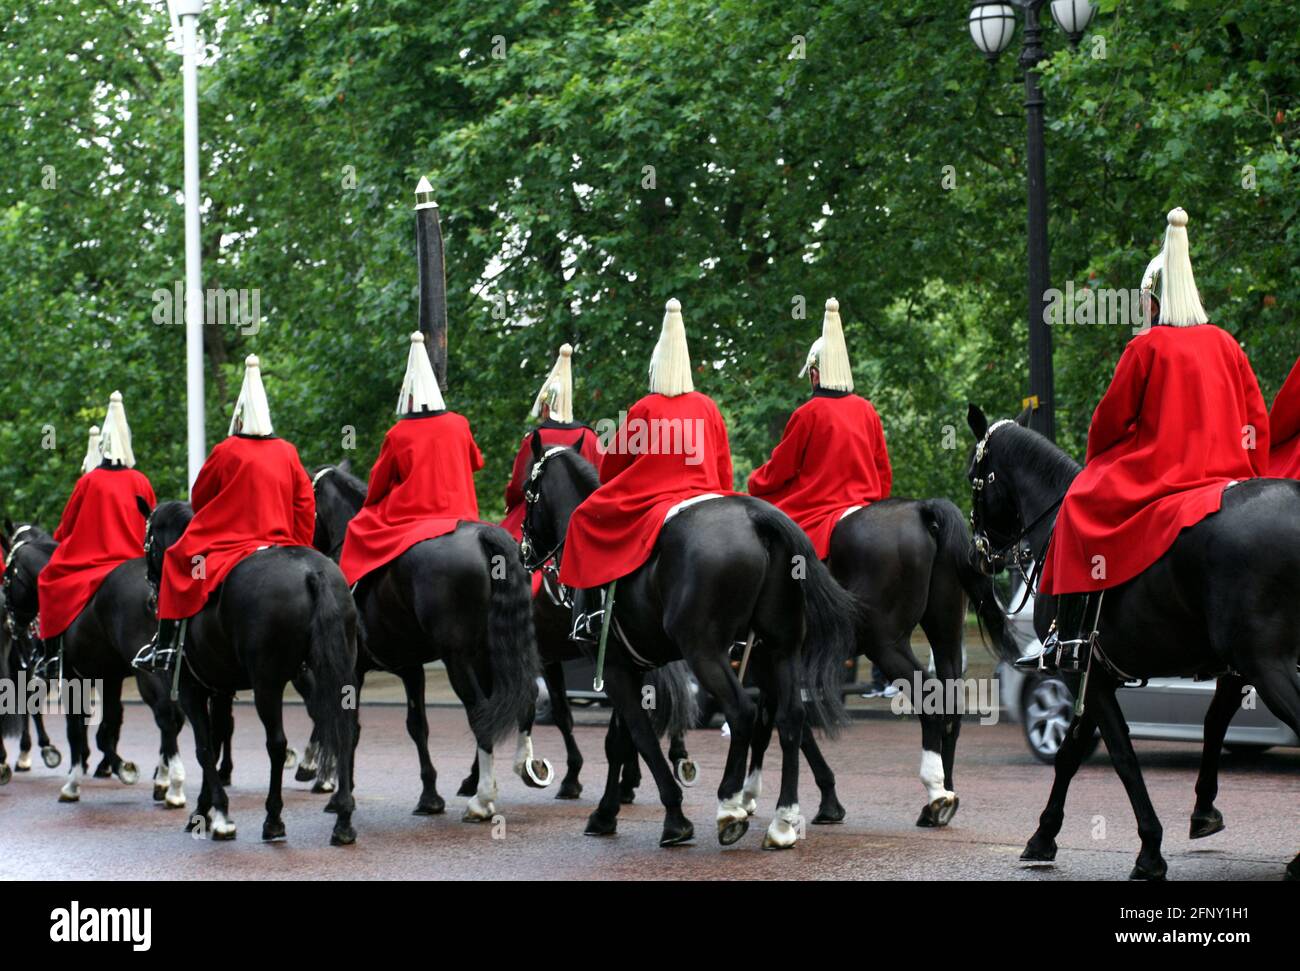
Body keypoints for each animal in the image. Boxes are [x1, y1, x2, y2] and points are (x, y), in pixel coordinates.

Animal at [1, 525, 188, 805]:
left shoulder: (70, 676)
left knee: (166, 713)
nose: (12, 623)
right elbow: (105, 725)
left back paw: (173, 785)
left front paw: (73, 783)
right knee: (176, 714)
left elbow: (75, 729)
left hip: (146, 670)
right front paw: (120, 767)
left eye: (7, 577)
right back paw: (163, 778)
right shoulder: (109, 677)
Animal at [141, 501, 361, 842]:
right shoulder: (220, 689)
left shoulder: (192, 689)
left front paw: (217, 816)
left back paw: (274, 818)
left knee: (277, 744)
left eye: (147, 541)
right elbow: (217, 740)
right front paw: (206, 808)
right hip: (332, 674)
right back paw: (343, 818)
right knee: (343, 730)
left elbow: (205, 748)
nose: (152, 592)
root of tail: (314, 573)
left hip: (267, 684)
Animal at [308, 467, 543, 826]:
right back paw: (522, 766)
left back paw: (482, 799)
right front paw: (430, 797)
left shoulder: (354, 669)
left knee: (481, 712)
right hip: (494, 652)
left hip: (459, 658)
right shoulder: (410, 667)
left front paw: (339, 797)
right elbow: (417, 726)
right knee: (524, 696)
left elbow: (352, 727)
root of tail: (484, 535)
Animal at [517, 444, 852, 847]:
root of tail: (756, 517)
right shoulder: (628, 665)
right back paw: (784, 819)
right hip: (777, 649)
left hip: (705, 652)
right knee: (790, 717)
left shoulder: (611, 667)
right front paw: (607, 812)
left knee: (743, 711)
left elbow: (640, 736)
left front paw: (673, 818)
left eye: (525, 491)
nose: (523, 552)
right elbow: (619, 741)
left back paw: (731, 805)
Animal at [967, 405, 1300, 878]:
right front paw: (1043, 837)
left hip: (1266, 663)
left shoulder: (1082, 673)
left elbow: (1121, 755)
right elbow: (1072, 754)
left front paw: (1149, 850)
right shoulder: (1098, 675)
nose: (980, 554)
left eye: (973, 475)